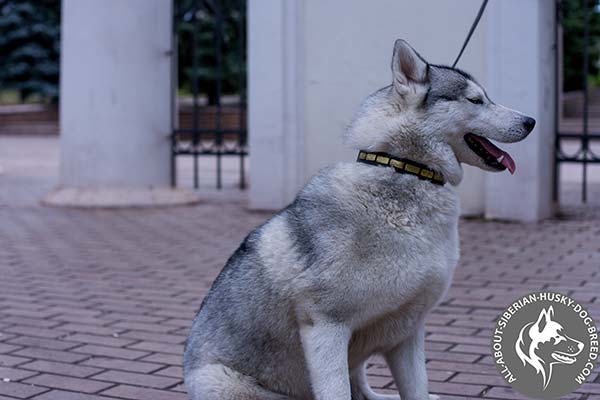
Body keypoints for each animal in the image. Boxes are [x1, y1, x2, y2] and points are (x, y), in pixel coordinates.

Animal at [183, 38, 536, 400]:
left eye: (485, 96)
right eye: (476, 100)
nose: (531, 122)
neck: (406, 170)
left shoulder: (407, 331)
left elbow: (417, 390)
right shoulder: (325, 326)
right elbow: (336, 391)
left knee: (364, 392)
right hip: (230, 383)